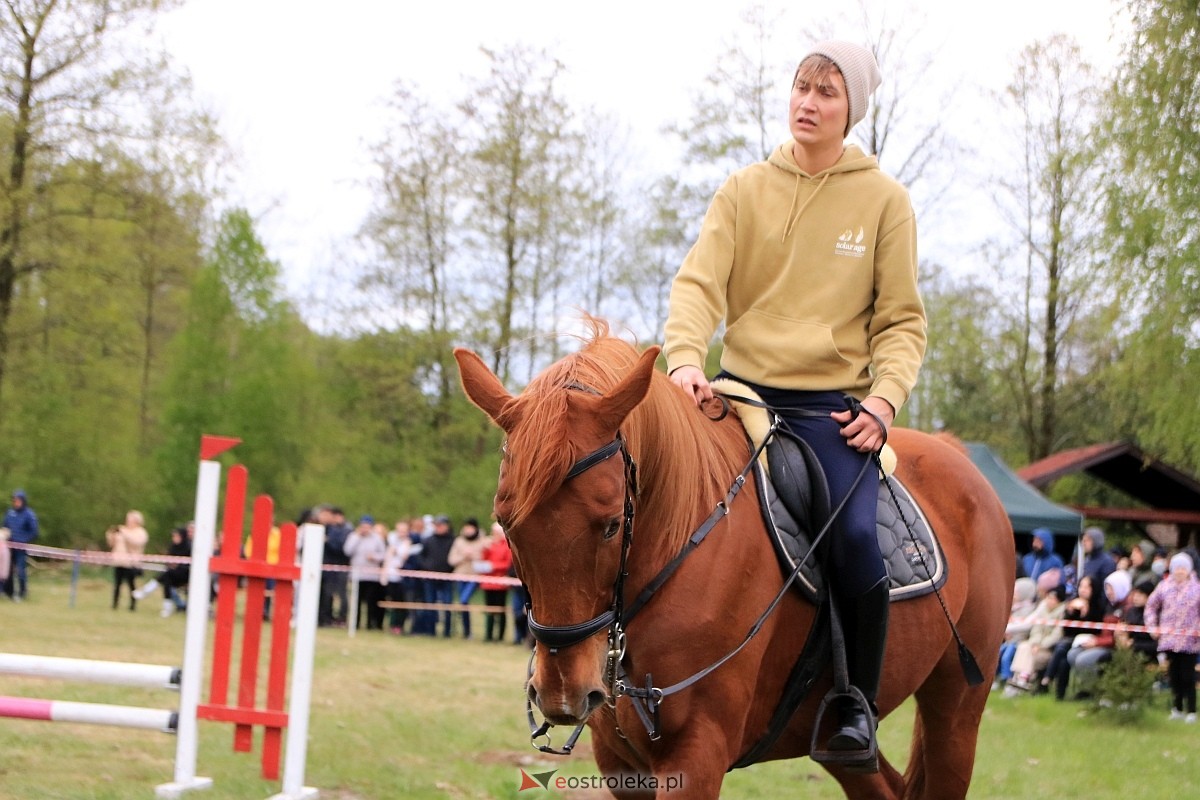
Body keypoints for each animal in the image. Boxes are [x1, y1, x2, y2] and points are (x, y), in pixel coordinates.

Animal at [453, 326, 1017, 800]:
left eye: (612, 524)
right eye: (506, 524)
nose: (563, 694)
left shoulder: (697, 755)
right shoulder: (621, 765)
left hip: (956, 711)